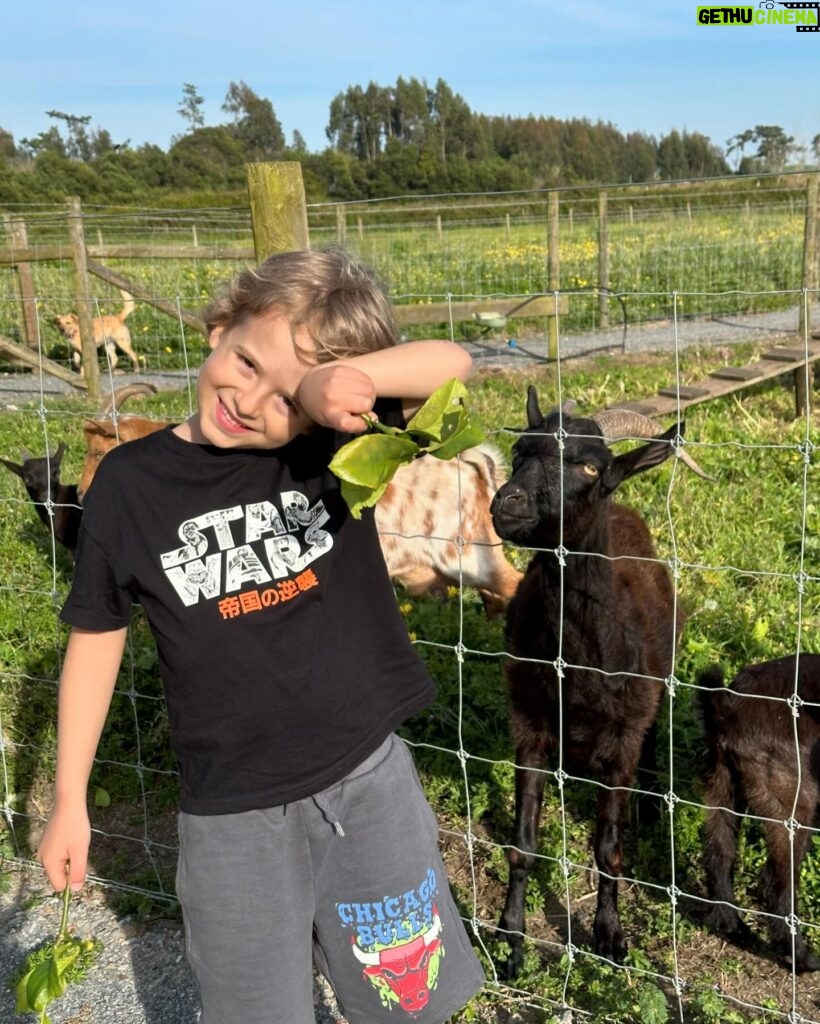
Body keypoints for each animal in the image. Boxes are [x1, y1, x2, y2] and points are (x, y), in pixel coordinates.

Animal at [487, 385, 683, 974]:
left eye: (592, 467)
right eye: (520, 452)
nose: (508, 504)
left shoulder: (620, 741)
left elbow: (608, 850)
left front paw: (610, 937)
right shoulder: (529, 726)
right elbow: (523, 844)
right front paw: (510, 940)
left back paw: (649, 806)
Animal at [696, 655, 818, 974]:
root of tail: (730, 708)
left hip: (723, 782)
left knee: (719, 852)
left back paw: (732, 926)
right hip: (794, 798)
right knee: (778, 884)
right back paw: (800, 957)